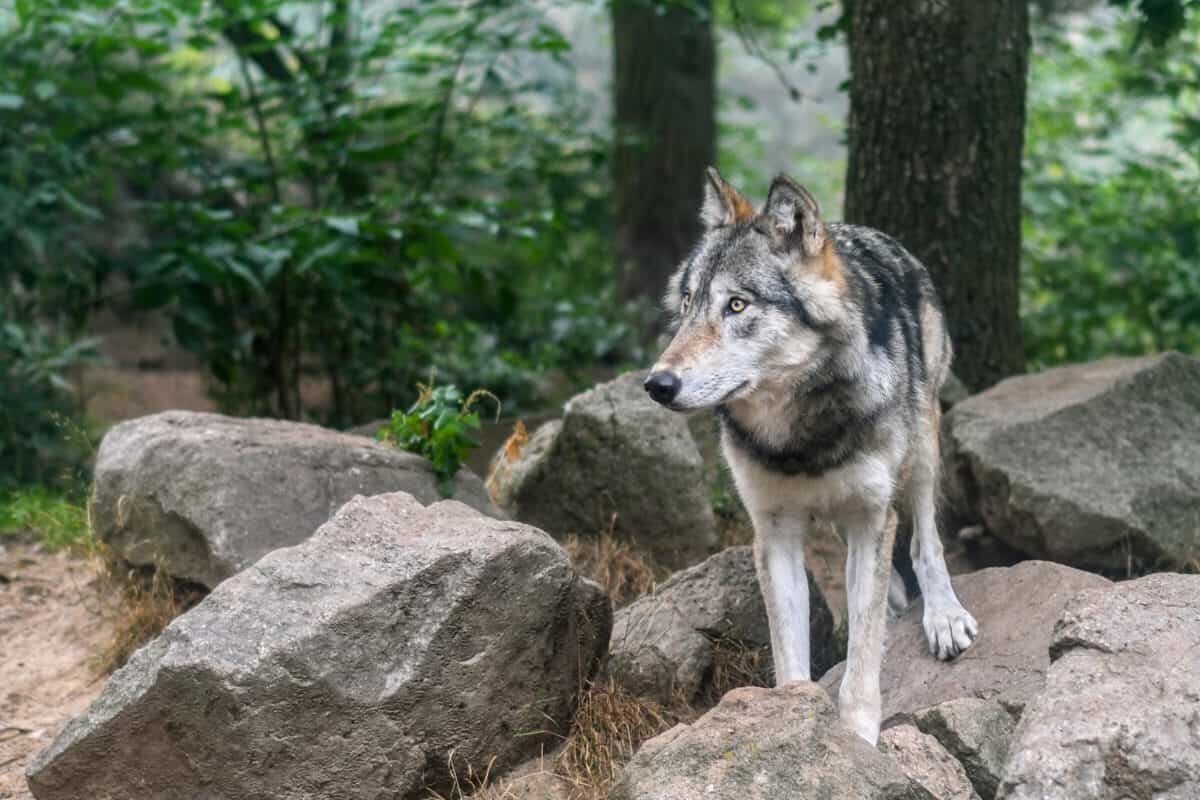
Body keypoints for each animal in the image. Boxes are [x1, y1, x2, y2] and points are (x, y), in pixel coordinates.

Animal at [648, 167, 974, 743]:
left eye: (737, 305)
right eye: (687, 304)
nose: (656, 384)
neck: (799, 436)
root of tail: (866, 231)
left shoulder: (872, 515)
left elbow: (862, 660)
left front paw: (857, 737)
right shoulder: (774, 531)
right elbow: (792, 654)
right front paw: (792, 722)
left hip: (922, 445)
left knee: (925, 541)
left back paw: (942, 614)